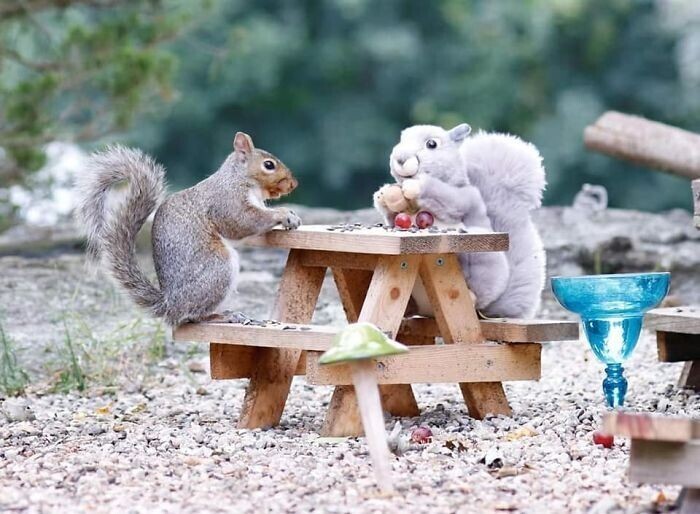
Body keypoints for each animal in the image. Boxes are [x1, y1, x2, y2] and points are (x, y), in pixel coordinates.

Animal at [76, 132, 300, 324]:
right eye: (269, 165)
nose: (293, 184)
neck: (239, 178)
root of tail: (170, 305)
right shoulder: (227, 201)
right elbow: (243, 221)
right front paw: (284, 214)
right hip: (218, 268)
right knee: (193, 316)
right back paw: (223, 316)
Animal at [372, 123, 548, 316]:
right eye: (401, 139)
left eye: (431, 144)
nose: (400, 159)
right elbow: (392, 216)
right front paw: (383, 195)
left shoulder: (464, 197)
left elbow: (447, 197)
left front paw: (415, 185)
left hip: (481, 258)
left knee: (480, 292)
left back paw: (472, 297)